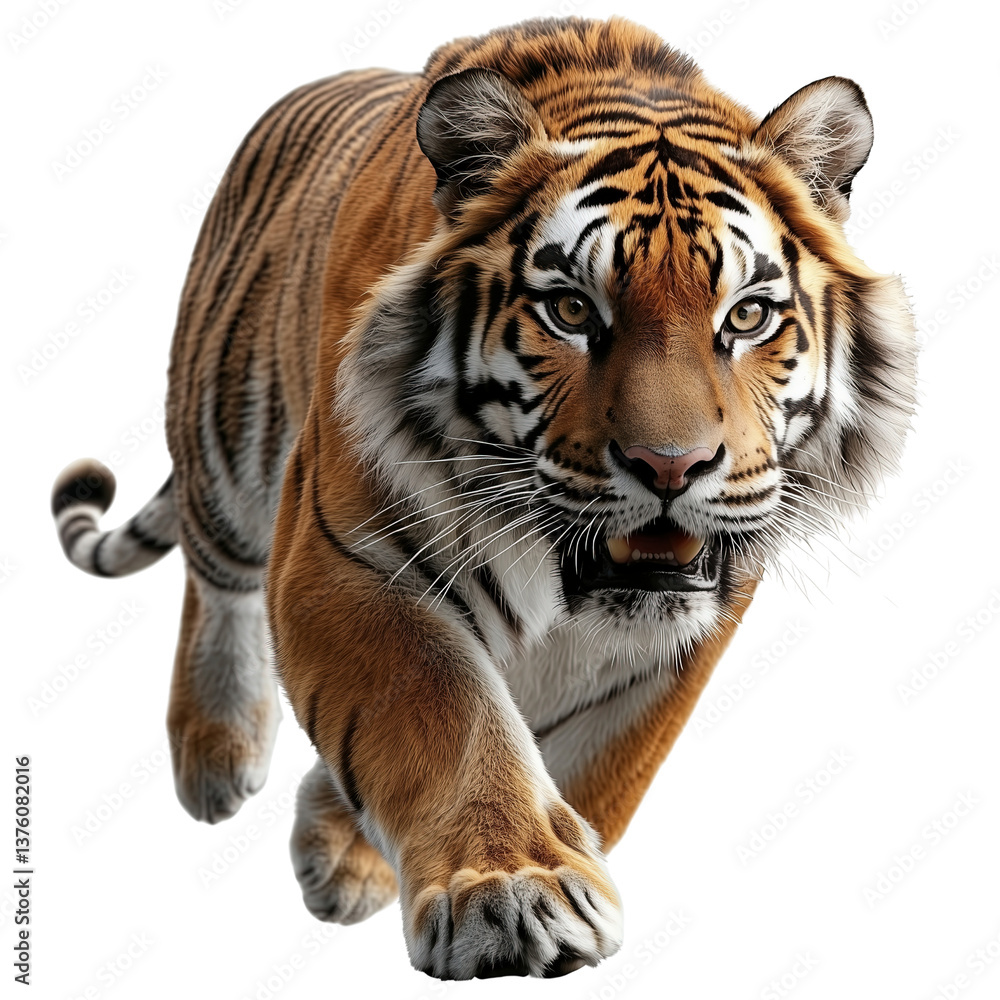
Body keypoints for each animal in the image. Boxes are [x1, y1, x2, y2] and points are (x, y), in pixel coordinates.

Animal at [50, 16, 917, 980]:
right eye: (572, 311)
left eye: (748, 317)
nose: (670, 467)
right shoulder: (347, 555)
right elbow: (447, 710)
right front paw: (512, 891)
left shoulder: (679, 634)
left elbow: (599, 763)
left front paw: (354, 852)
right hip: (225, 416)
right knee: (217, 571)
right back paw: (215, 754)